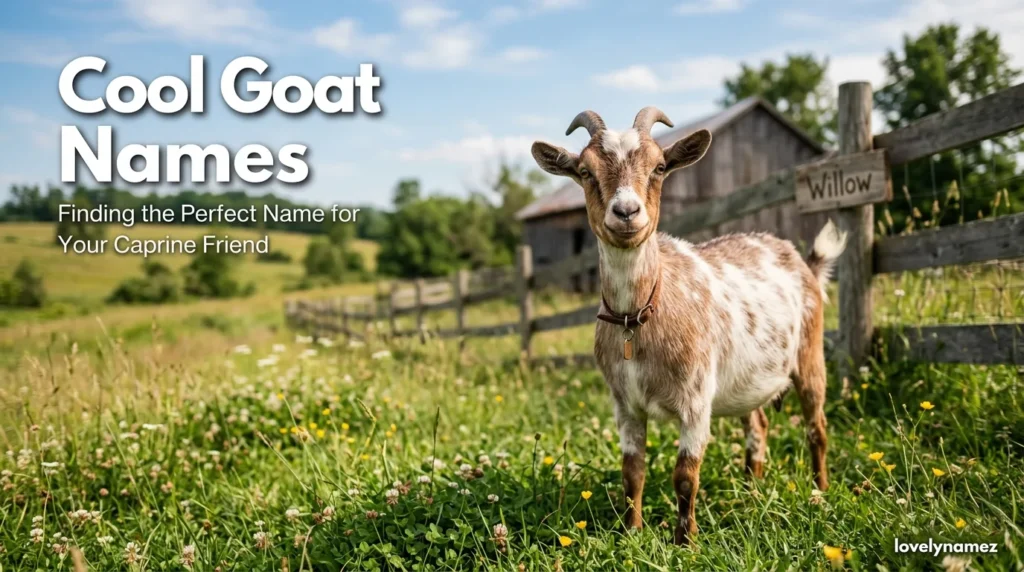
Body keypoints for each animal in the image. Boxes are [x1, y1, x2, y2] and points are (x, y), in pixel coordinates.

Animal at [531, 107, 847, 546]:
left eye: (660, 167)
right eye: (584, 170)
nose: (626, 212)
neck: (637, 317)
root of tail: (804, 262)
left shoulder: (696, 401)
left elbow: (684, 476)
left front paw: (686, 543)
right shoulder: (624, 404)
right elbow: (632, 473)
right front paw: (632, 532)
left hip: (810, 355)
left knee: (817, 427)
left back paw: (820, 490)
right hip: (748, 378)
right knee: (758, 426)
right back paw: (751, 490)